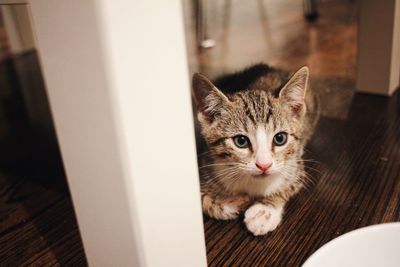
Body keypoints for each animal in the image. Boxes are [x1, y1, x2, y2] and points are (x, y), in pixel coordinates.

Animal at [192, 63, 320, 236]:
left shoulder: (297, 169)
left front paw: (264, 210)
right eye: (241, 141)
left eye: (280, 138)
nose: (264, 165)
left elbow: (287, 187)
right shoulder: (204, 161)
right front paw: (225, 201)